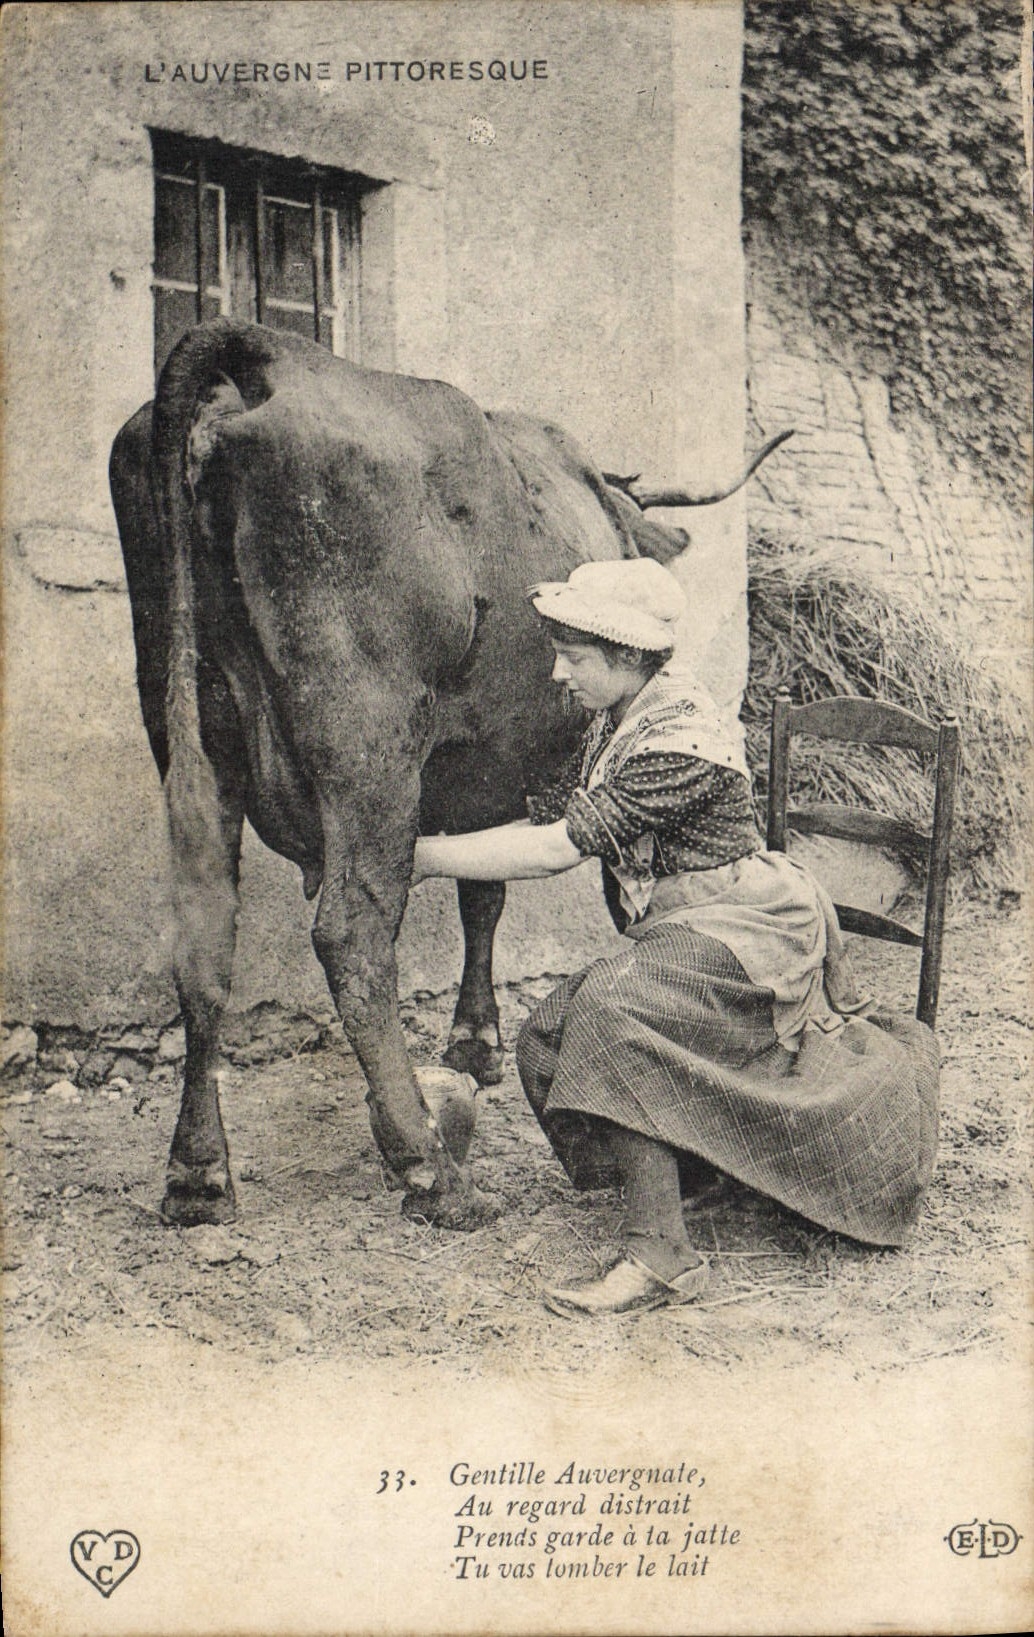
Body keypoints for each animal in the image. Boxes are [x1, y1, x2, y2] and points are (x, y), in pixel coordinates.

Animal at [110, 318, 787, 1232]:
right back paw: (431, 1167)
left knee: (204, 935)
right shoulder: (500, 764)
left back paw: (198, 1173)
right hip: (368, 739)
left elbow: (482, 889)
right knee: (353, 934)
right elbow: (492, 898)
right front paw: (476, 1040)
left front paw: (473, 1041)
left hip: (188, 721)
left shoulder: (474, 775)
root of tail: (263, 356)